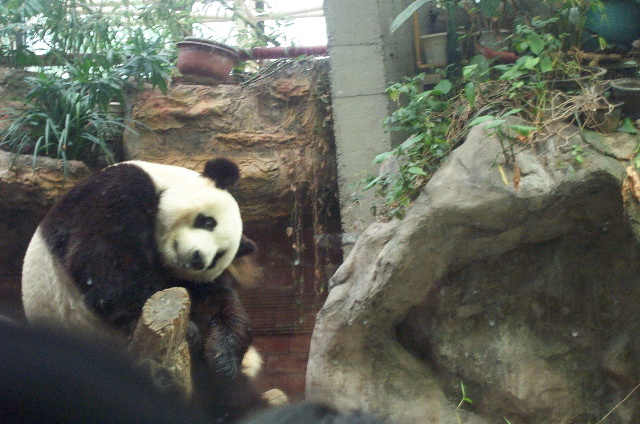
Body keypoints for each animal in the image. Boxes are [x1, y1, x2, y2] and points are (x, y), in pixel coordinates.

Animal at [20, 158, 264, 420]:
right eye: (208, 222)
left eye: (219, 256)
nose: (199, 259)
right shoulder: (114, 191)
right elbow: (104, 258)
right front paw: (190, 331)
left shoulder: (192, 280)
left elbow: (217, 302)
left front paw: (222, 356)